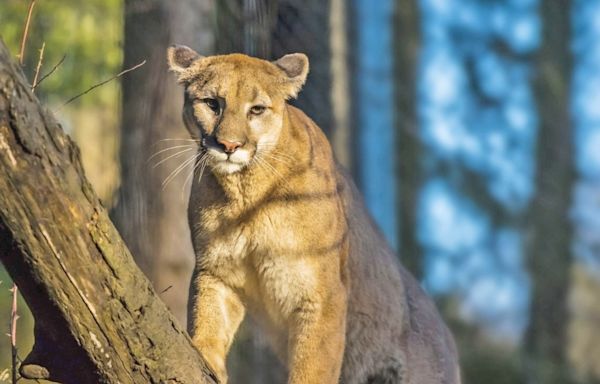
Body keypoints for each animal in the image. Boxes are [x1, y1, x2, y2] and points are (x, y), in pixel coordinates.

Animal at [166, 45, 462, 384]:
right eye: (212, 103)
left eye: (257, 109)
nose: (229, 145)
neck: (244, 192)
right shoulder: (217, 268)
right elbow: (207, 316)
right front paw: (206, 357)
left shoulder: (323, 293)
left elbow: (313, 364)